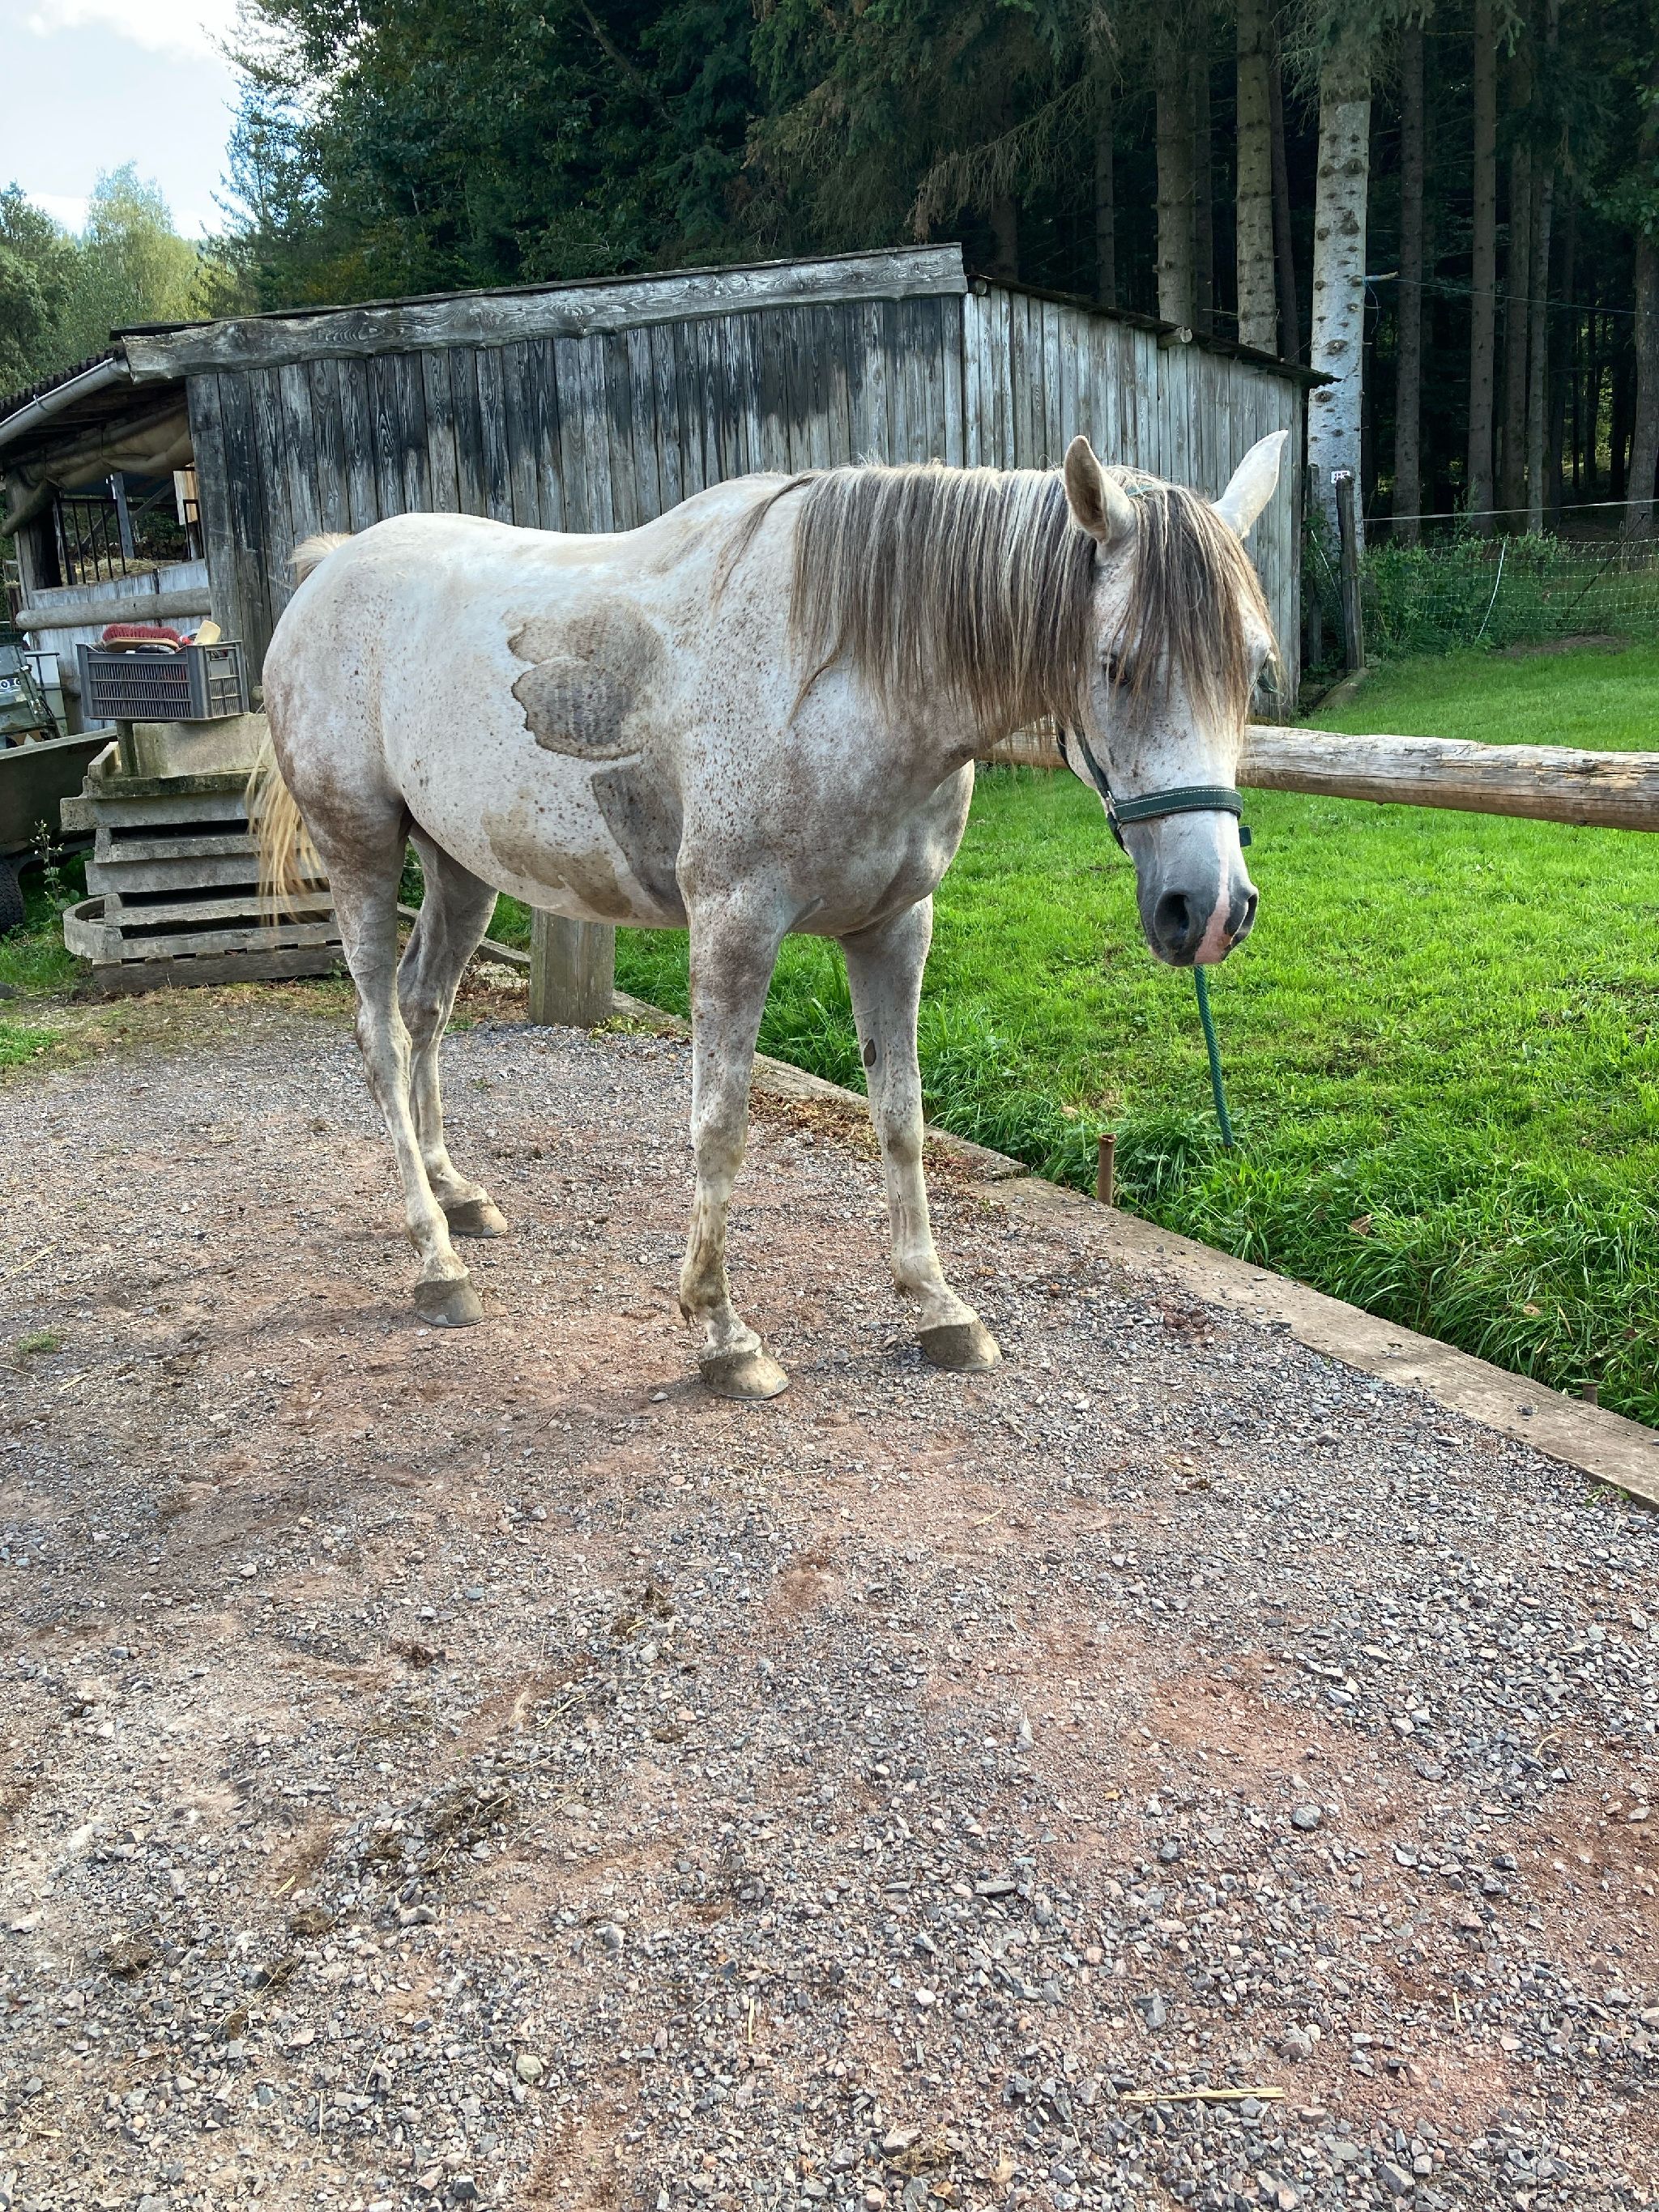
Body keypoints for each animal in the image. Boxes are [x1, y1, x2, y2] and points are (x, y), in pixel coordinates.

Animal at [250, 428, 1286, 1399]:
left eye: (1251, 667)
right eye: (1114, 664)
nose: (1208, 909)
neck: (835, 680)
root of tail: (330, 569)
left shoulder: (894, 929)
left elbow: (900, 1116)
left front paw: (936, 1306)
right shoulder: (735, 927)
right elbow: (720, 1128)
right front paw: (723, 1333)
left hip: (461, 867)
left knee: (425, 1007)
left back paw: (455, 1192)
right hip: (359, 851)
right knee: (380, 1035)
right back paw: (435, 1259)